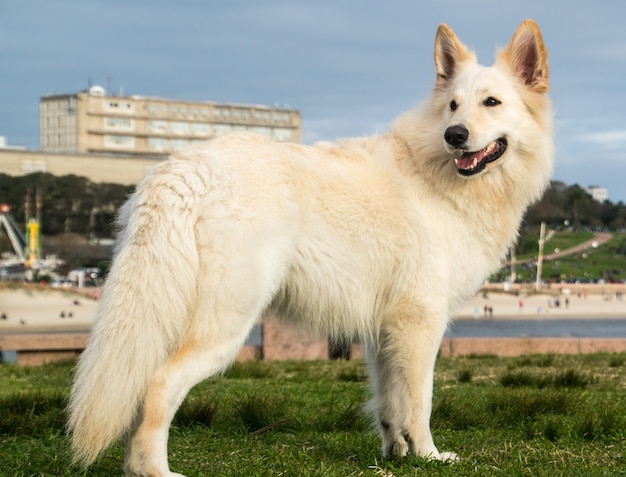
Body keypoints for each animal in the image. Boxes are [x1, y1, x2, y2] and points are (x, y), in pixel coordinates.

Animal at [68, 20, 552, 474]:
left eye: (491, 103)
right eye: (453, 105)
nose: (454, 134)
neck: (440, 176)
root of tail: (188, 167)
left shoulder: (384, 333)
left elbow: (389, 403)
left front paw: (396, 454)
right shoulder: (420, 324)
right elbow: (420, 402)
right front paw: (429, 455)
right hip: (227, 325)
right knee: (156, 386)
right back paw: (155, 469)